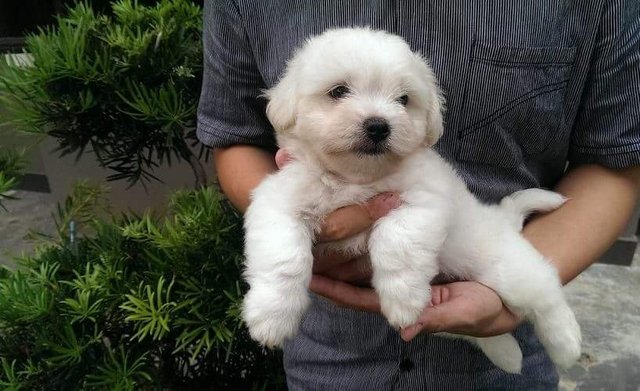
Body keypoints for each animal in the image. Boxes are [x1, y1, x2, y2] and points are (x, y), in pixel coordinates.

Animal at [242, 26, 584, 374]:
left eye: (403, 100)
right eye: (338, 91)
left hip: (511, 271)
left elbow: (396, 242)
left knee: (546, 293)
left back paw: (567, 345)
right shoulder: (278, 202)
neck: (356, 179)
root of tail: (502, 219)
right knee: (479, 332)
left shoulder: (423, 200)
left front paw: (403, 300)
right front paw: (272, 317)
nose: (378, 126)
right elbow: (284, 259)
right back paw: (508, 354)